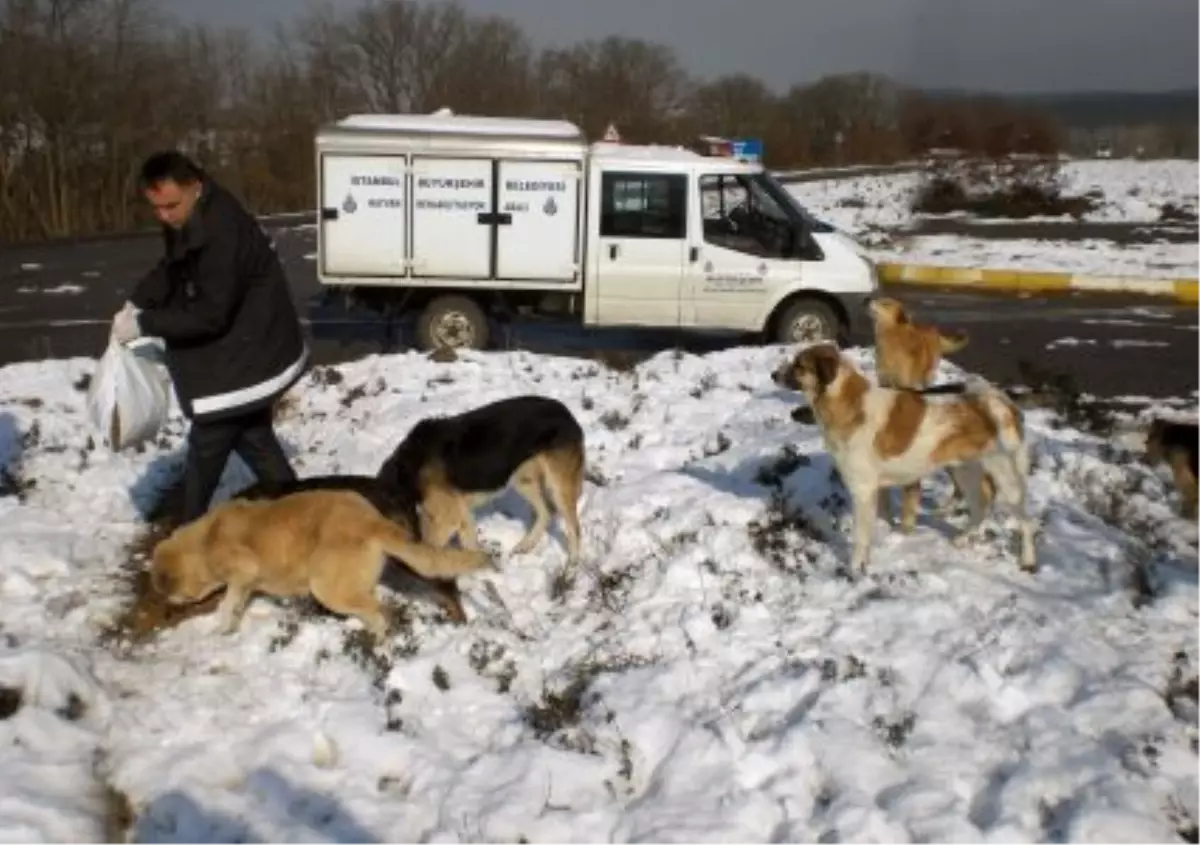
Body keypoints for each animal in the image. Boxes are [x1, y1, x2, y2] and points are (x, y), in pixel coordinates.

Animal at [151, 492, 496, 638]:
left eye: (168, 590)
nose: (166, 609)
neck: (203, 540)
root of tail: (370, 520)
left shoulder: (242, 570)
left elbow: (227, 601)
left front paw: (221, 627)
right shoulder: (246, 583)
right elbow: (237, 602)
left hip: (326, 586)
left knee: (379, 611)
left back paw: (379, 643)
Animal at [372, 393, 583, 564]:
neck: (407, 471)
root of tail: (566, 412)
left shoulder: (448, 518)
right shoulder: (461, 515)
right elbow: (470, 546)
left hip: (558, 486)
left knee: (574, 528)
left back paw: (572, 566)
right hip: (523, 480)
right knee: (546, 511)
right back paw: (527, 544)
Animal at [772, 343, 1036, 573]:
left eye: (799, 365)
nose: (773, 374)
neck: (848, 402)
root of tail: (1002, 403)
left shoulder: (863, 490)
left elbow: (860, 536)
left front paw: (855, 568)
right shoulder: (875, 490)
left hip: (1007, 476)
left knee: (1024, 520)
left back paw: (1028, 560)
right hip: (966, 471)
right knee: (981, 505)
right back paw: (963, 539)